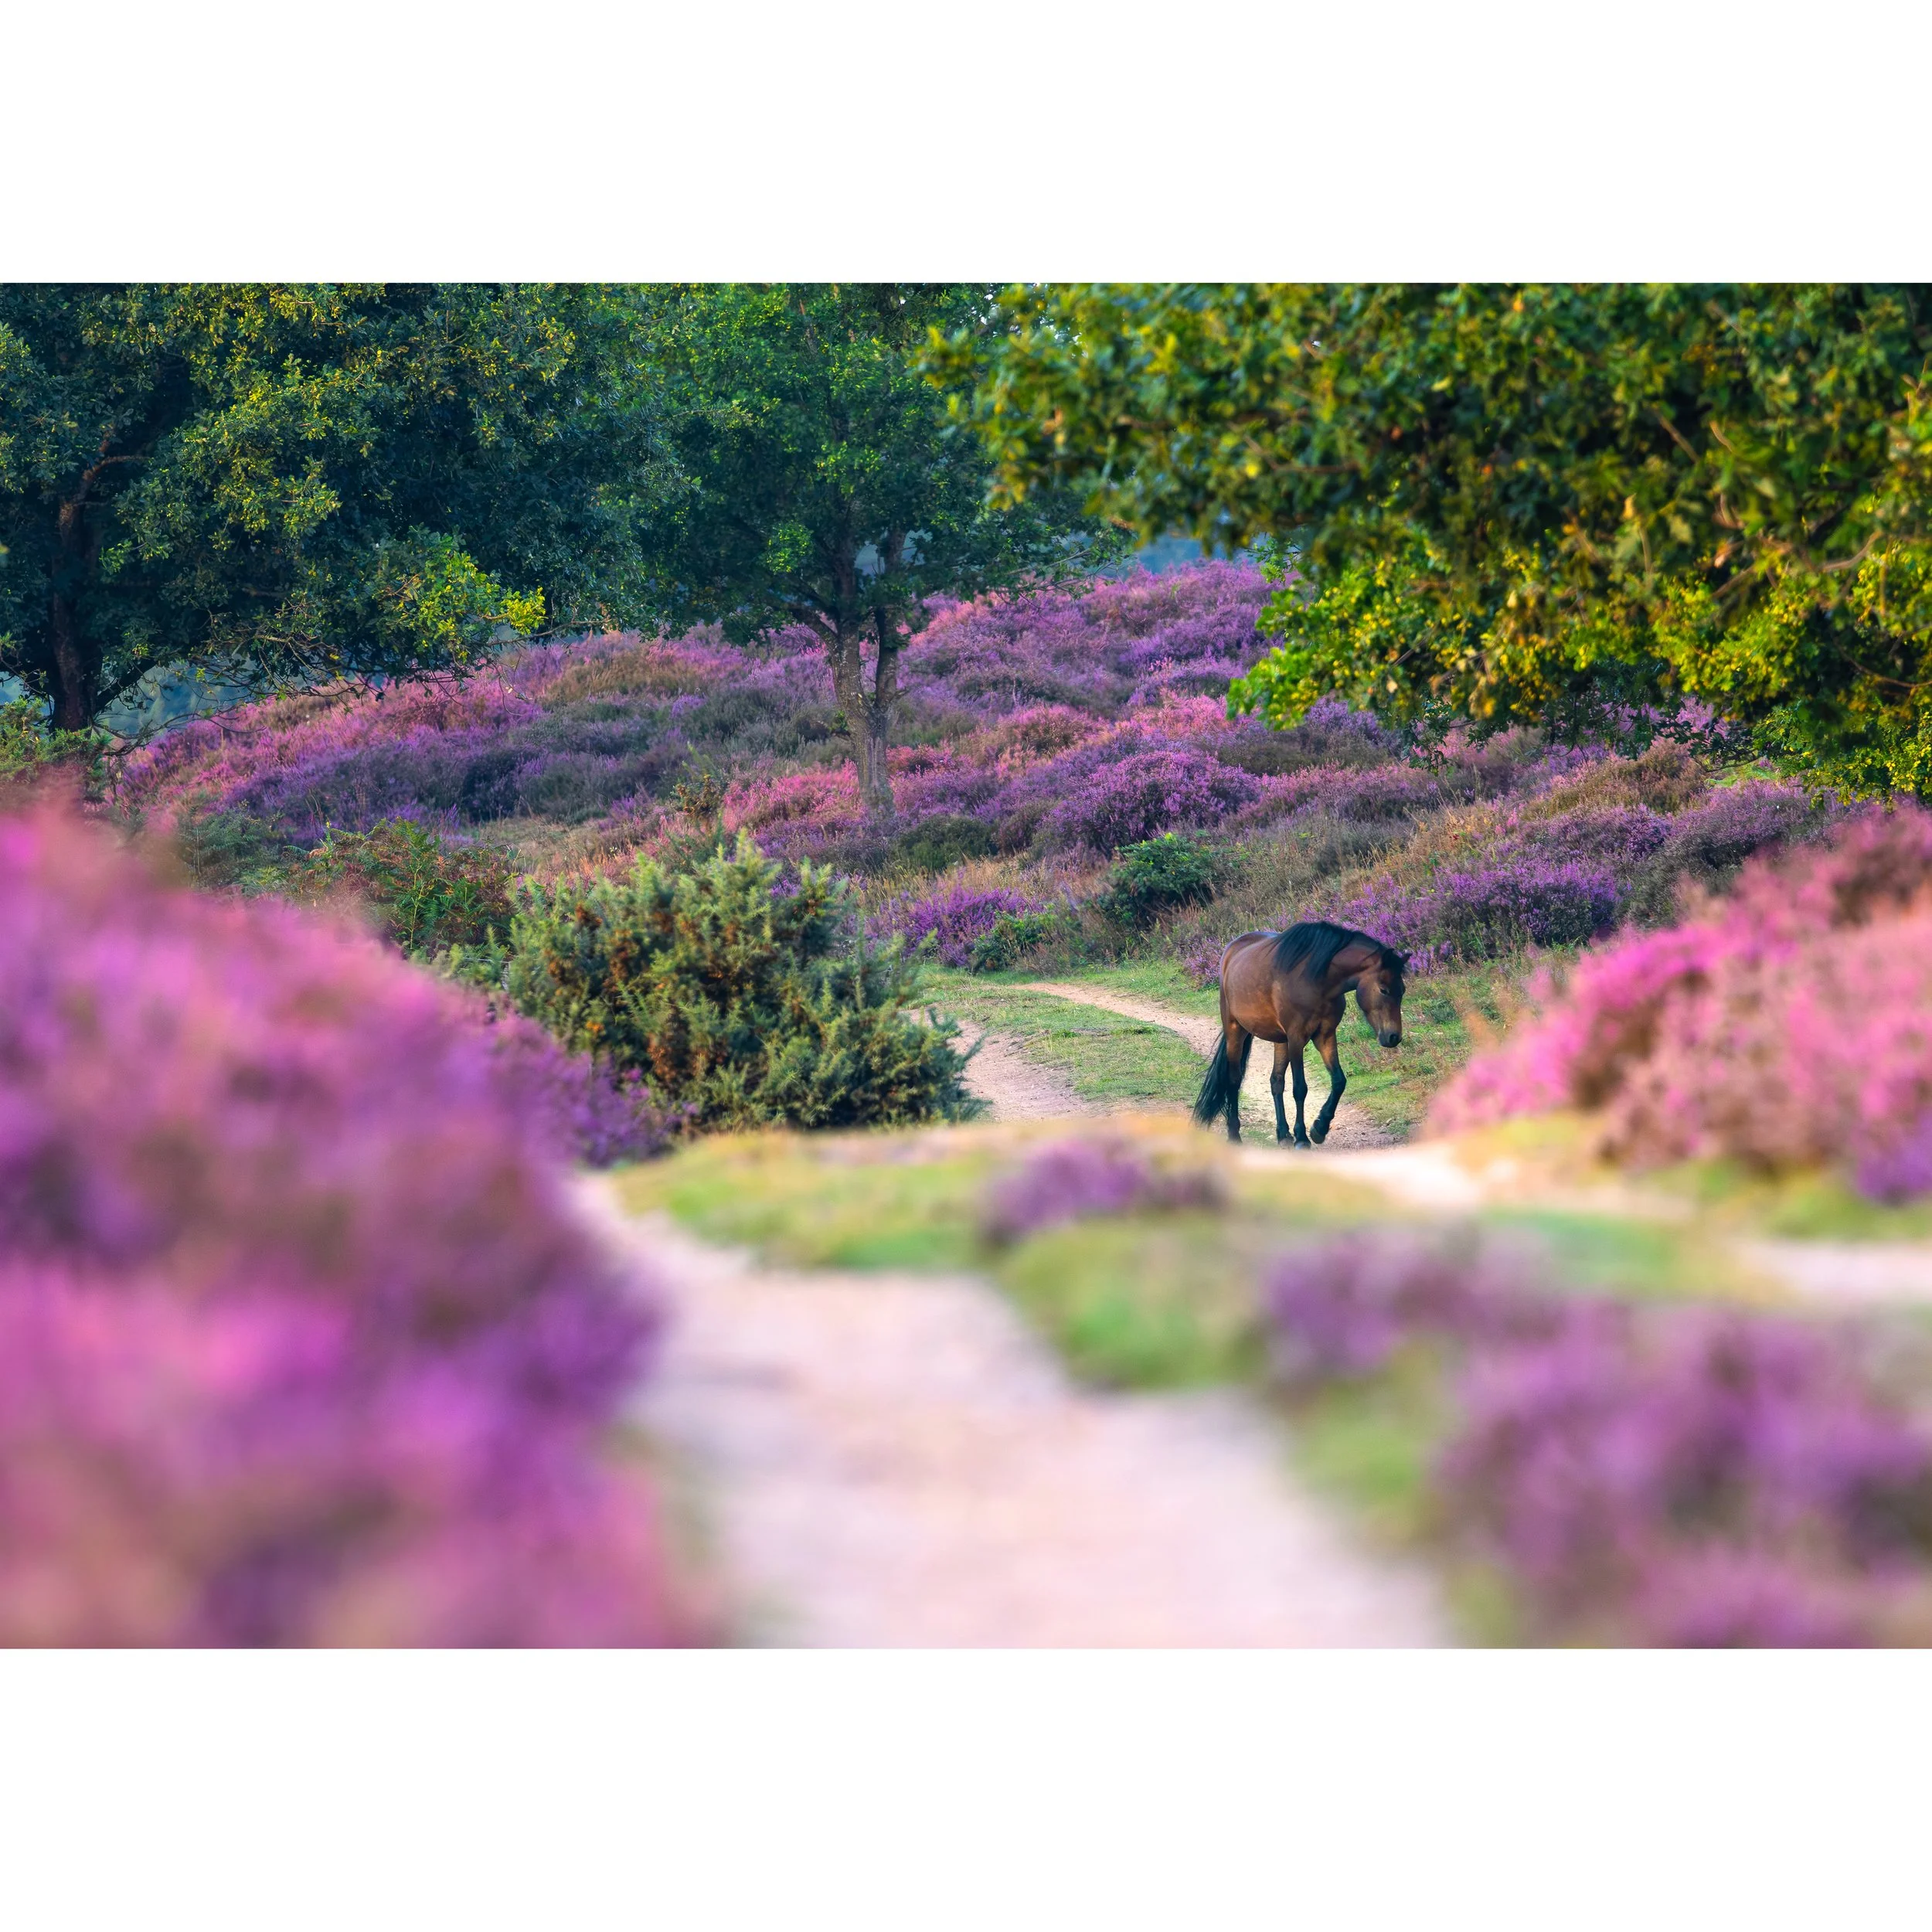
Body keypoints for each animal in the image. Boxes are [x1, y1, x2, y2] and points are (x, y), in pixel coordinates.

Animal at [1190, 921, 1407, 1146]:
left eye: (1403, 990)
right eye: (1383, 990)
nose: (1394, 1037)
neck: (1317, 981)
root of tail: (1232, 950)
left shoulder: (1325, 1035)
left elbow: (1339, 1081)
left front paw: (1319, 1128)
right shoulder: (1296, 1038)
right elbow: (1300, 1089)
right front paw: (1302, 1137)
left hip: (1280, 1040)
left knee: (1276, 1081)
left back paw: (1283, 1134)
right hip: (1236, 1030)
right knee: (1234, 1080)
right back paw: (1235, 1135)